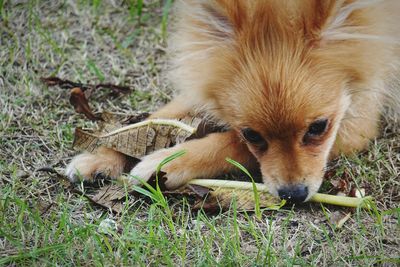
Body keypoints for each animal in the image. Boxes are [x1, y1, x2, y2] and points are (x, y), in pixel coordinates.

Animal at [66, 0, 400, 203]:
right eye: (252, 134)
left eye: (318, 128)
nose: (293, 194)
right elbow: (153, 118)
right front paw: (100, 156)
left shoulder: (355, 122)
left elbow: (227, 144)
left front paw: (164, 163)